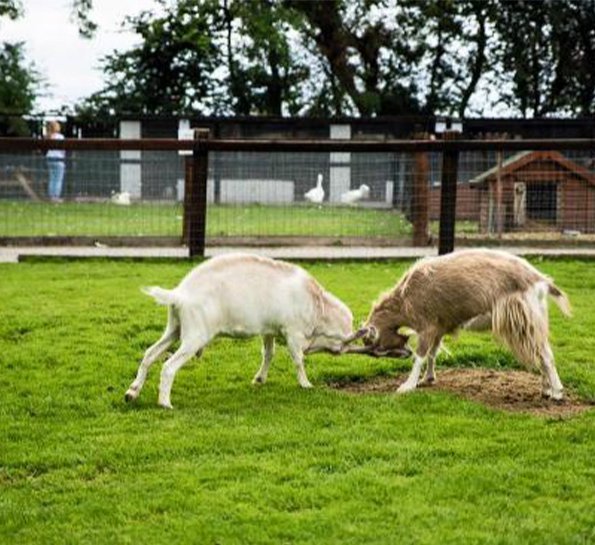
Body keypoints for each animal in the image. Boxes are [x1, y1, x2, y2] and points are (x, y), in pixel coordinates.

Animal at [126, 253, 356, 406]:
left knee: (149, 354)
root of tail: (179, 294)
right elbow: (298, 359)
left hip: (174, 328)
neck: (318, 305)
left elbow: (268, 353)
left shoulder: (269, 330)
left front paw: (259, 379)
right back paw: (165, 403)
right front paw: (306, 384)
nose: (340, 352)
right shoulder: (293, 332)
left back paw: (132, 392)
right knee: (168, 366)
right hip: (195, 336)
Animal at [350, 249, 572, 398]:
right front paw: (428, 379)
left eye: (380, 348)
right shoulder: (439, 326)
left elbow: (421, 355)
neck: (405, 296)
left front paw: (407, 386)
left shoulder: (427, 325)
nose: (405, 354)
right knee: (540, 352)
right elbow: (433, 353)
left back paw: (557, 392)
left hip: (525, 319)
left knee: (545, 354)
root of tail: (540, 280)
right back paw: (545, 389)